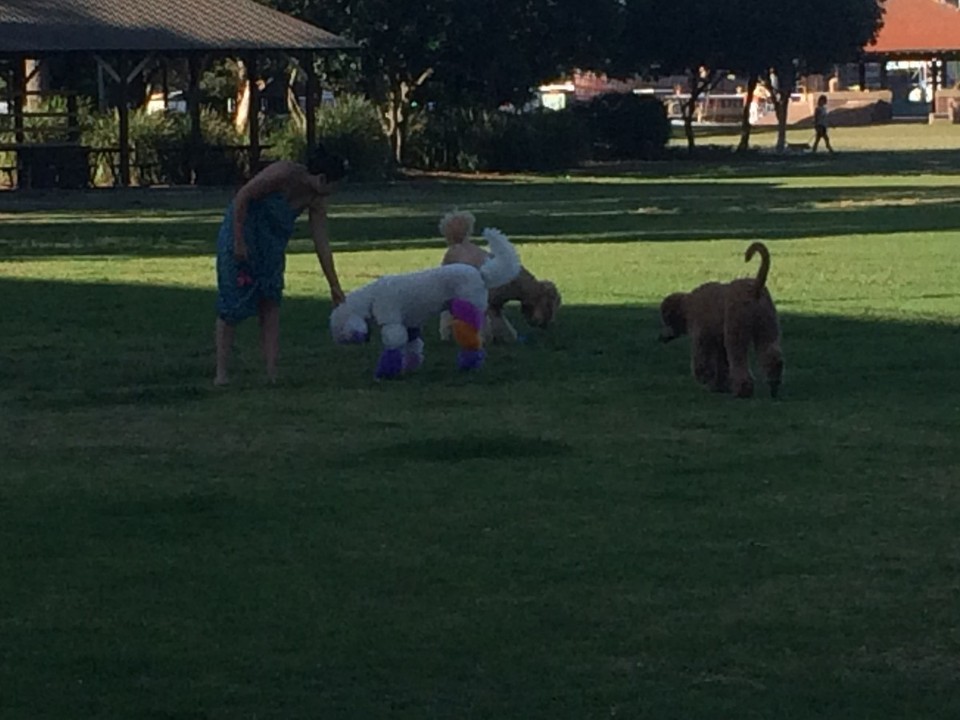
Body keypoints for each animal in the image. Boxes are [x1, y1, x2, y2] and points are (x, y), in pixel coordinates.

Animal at [660, 242, 788, 400]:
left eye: (665, 320)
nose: (661, 337)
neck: (688, 305)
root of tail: (755, 288)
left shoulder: (703, 334)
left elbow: (703, 359)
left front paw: (705, 379)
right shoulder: (718, 340)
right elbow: (722, 362)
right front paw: (719, 386)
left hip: (737, 328)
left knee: (738, 357)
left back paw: (743, 390)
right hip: (767, 325)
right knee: (771, 355)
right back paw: (773, 386)